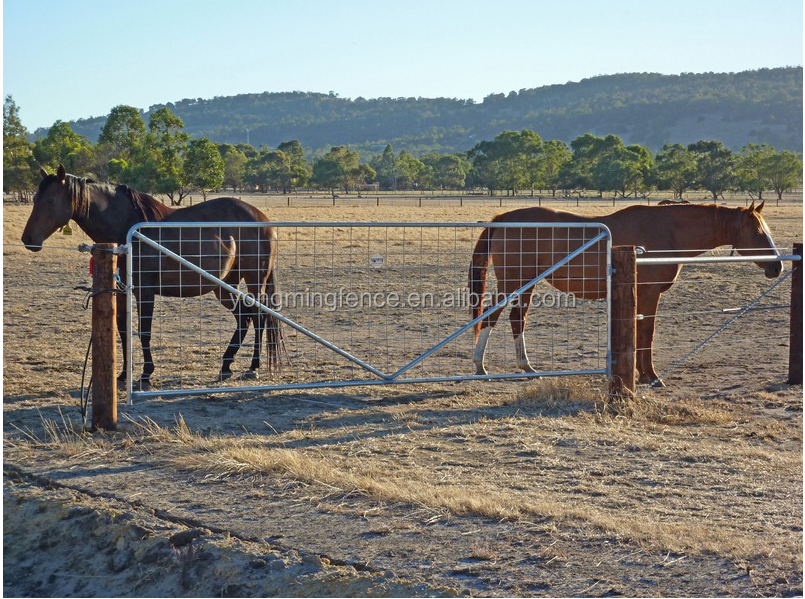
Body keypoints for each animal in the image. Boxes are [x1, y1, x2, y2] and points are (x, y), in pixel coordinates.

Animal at [22, 166, 284, 392]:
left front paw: (146, 375)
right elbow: (123, 330)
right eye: (35, 198)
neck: (128, 230)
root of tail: (263, 219)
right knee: (244, 317)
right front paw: (123, 375)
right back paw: (226, 365)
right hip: (224, 285)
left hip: (254, 280)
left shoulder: (145, 292)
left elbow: (144, 332)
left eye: (50, 200)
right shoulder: (122, 291)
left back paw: (253, 367)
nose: (28, 239)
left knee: (258, 316)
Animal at [468, 202, 784, 386]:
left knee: (517, 319)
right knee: (492, 317)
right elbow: (646, 334)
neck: (668, 231)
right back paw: (480, 366)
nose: (777, 266)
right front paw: (650, 376)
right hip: (513, 282)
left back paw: (526, 366)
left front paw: (640, 373)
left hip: (526, 285)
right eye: (758, 232)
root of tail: (503, 219)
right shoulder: (650, 294)